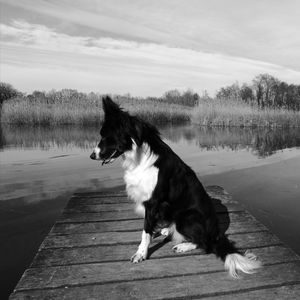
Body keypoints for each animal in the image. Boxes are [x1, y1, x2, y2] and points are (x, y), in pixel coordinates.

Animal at [90, 97, 262, 278]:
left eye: (106, 137)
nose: (92, 155)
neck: (139, 155)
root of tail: (215, 233)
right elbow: (149, 228)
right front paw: (154, 235)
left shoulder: (153, 203)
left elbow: (145, 232)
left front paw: (141, 253)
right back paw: (167, 230)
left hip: (186, 218)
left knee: (205, 244)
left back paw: (182, 245)